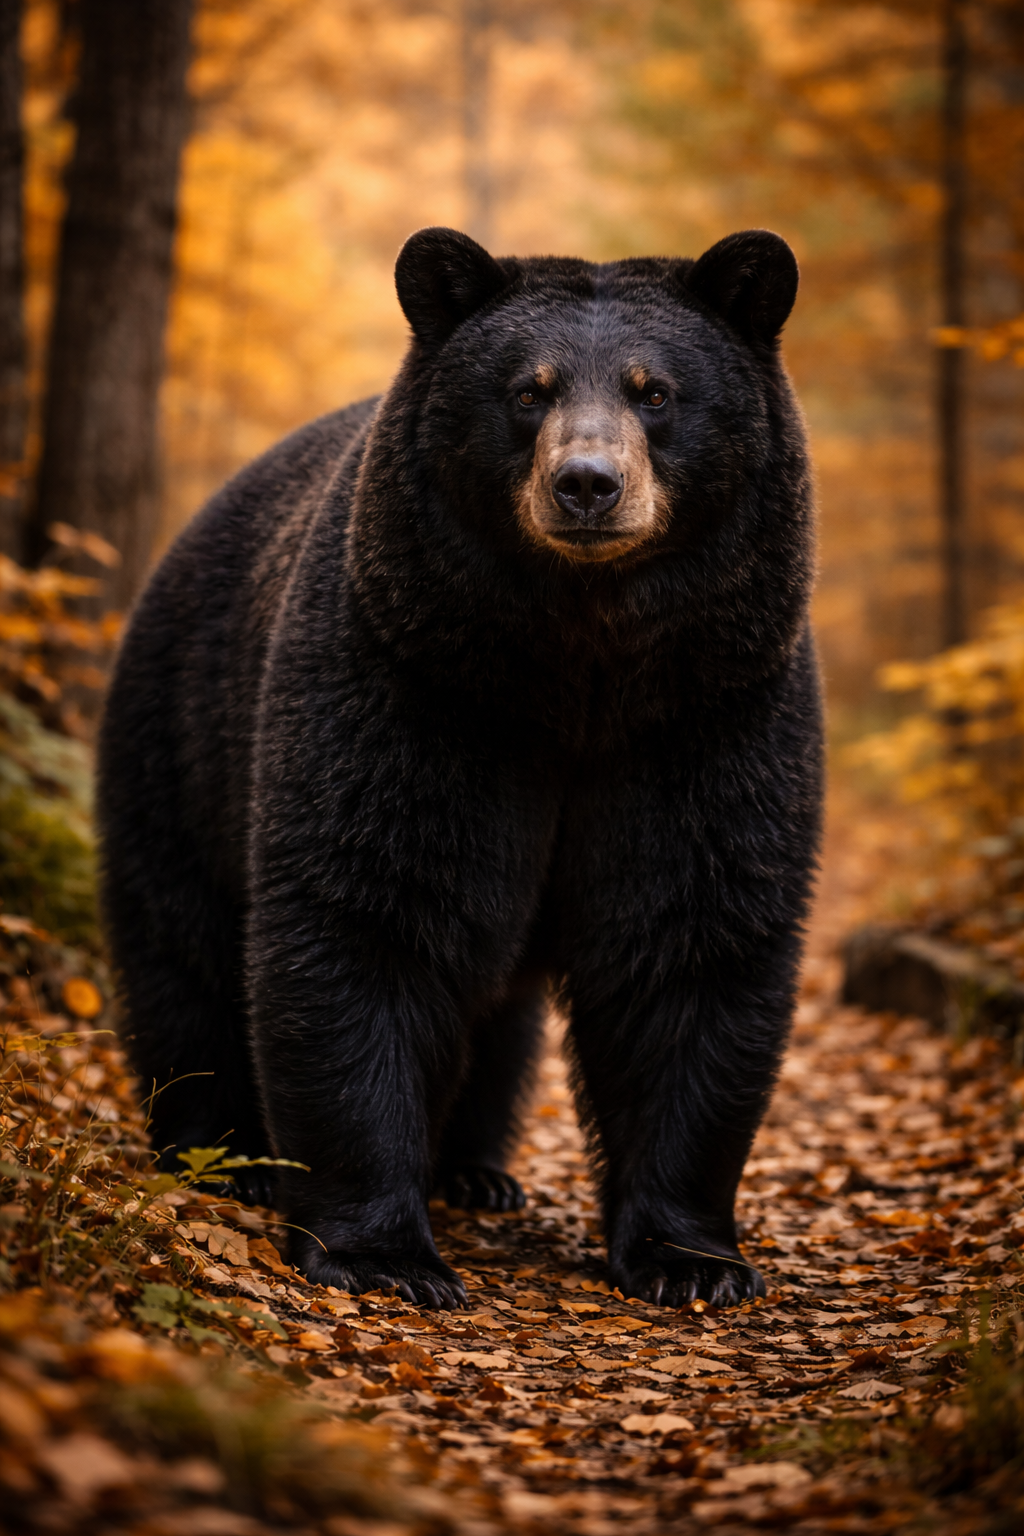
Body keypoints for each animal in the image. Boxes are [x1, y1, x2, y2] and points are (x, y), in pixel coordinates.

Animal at [97, 225, 823, 1310]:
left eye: (656, 391)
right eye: (529, 390)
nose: (588, 483)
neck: (576, 668)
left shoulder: (711, 709)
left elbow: (692, 938)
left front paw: (690, 1259)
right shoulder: (410, 681)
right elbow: (368, 912)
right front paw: (383, 1252)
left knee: (498, 1010)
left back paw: (477, 1170)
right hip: (179, 740)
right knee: (182, 953)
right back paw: (221, 1152)